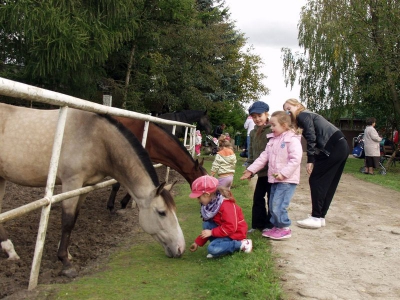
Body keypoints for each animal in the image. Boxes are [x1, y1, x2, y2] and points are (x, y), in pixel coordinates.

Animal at [0, 103, 184, 278]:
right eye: (162, 212)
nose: (181, 248)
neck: (98, 139)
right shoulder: (71, 183)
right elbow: (67, 221)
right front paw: (65, 263)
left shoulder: (83, 188)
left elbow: (74, 219)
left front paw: (67, 253)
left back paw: (10, 251)